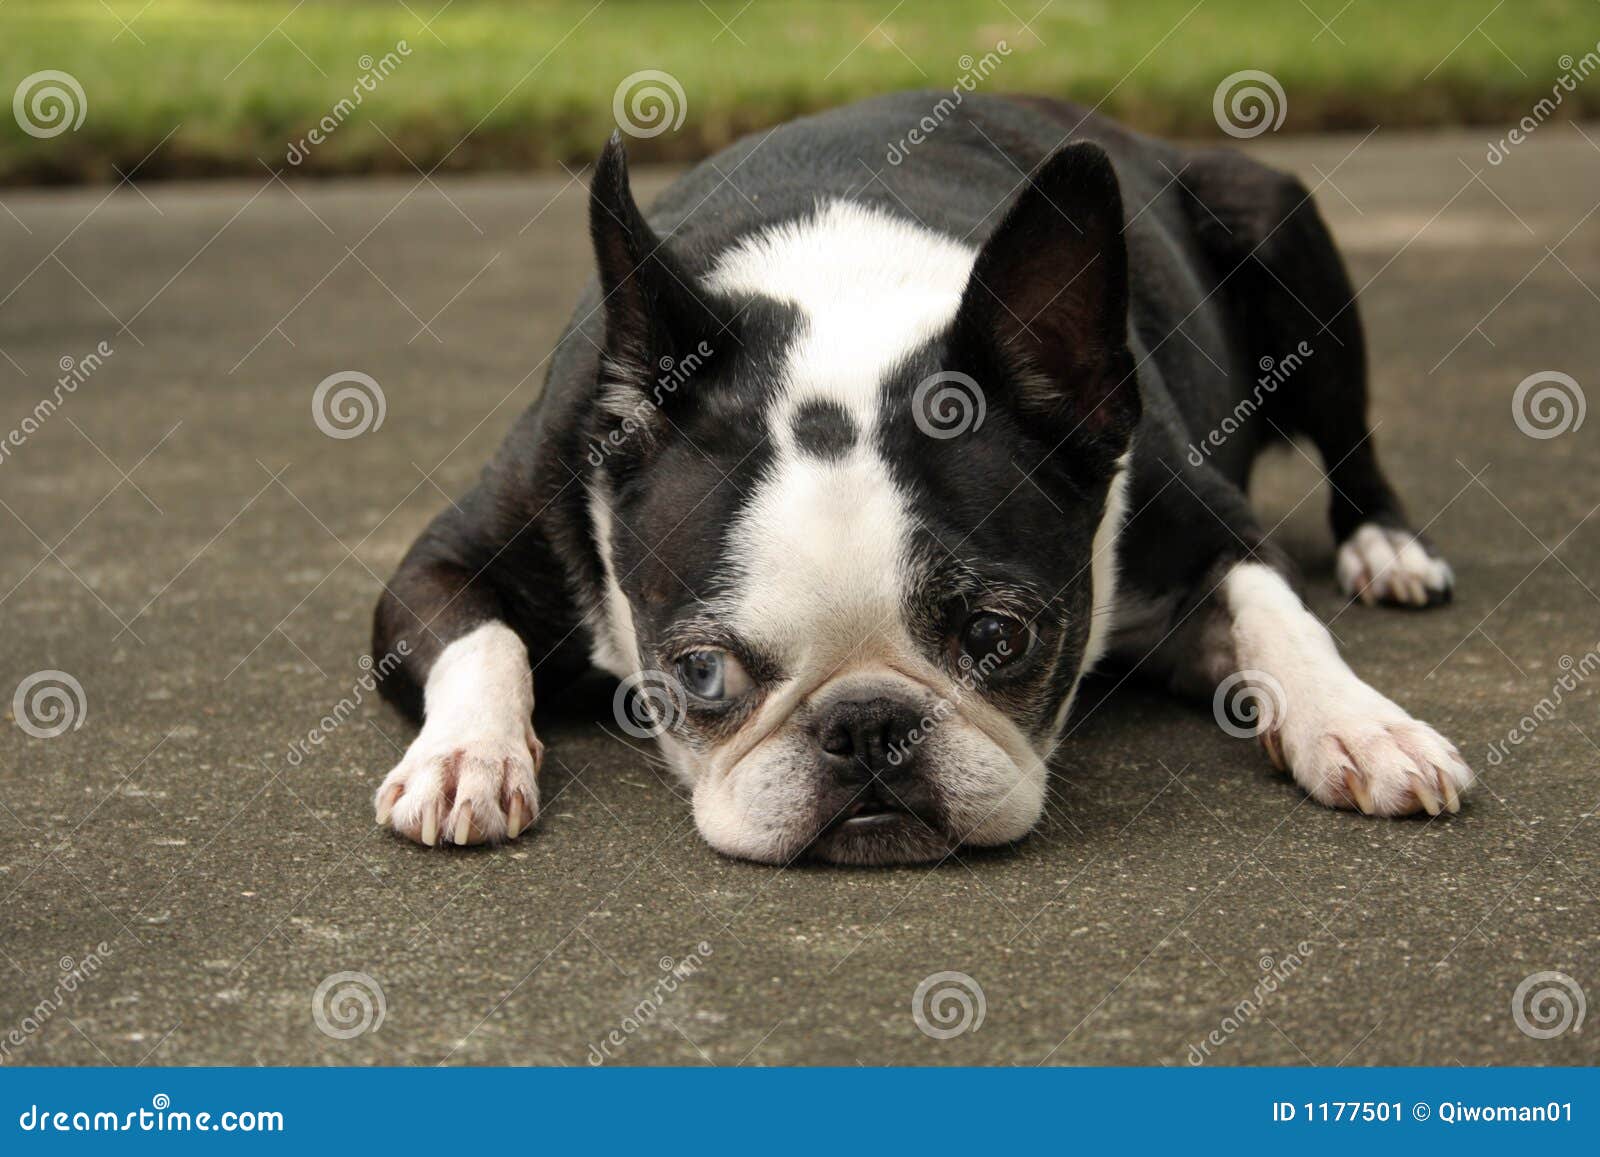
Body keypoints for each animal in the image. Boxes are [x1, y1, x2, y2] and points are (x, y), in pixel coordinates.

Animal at [368, 90, 1465, 864]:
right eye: (699, 672)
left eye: (998, 637)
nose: (866, 725)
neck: (843, 298)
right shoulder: (449, 553)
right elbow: (481, 636)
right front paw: (466, 755)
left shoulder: (1204, 520)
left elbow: (1280, 613)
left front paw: (1360, 724)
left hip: (1275, 221)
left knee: (1352, 447)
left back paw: (1389, 549)